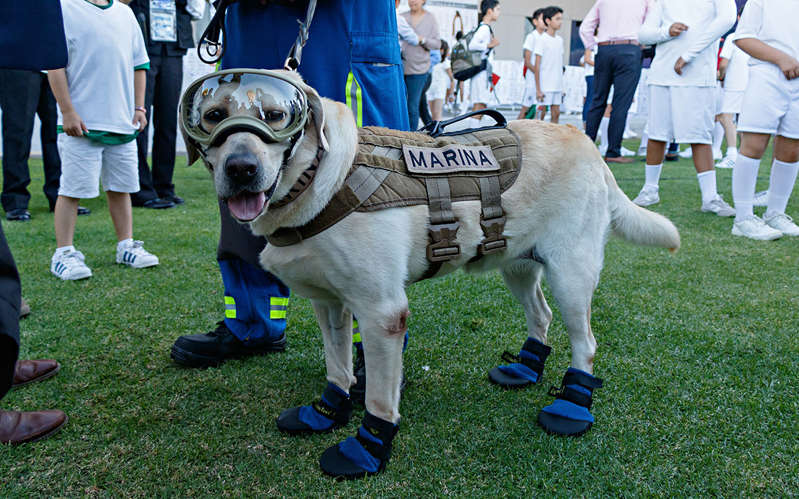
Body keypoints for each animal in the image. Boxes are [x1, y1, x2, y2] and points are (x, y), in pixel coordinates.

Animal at [181, 68, 680, 478]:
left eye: (276, 115)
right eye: (213, 116)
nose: (241, 169)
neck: (319, 180)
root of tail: (586, 142)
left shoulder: (382, 312)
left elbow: (379, 398)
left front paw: (367, 449)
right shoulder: (330, 304)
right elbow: (338, 368)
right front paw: (325, 412)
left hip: (571, 273)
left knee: (586, 343)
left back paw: (573, 405)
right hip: (519, 265)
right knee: (542, 315)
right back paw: (526, 368)